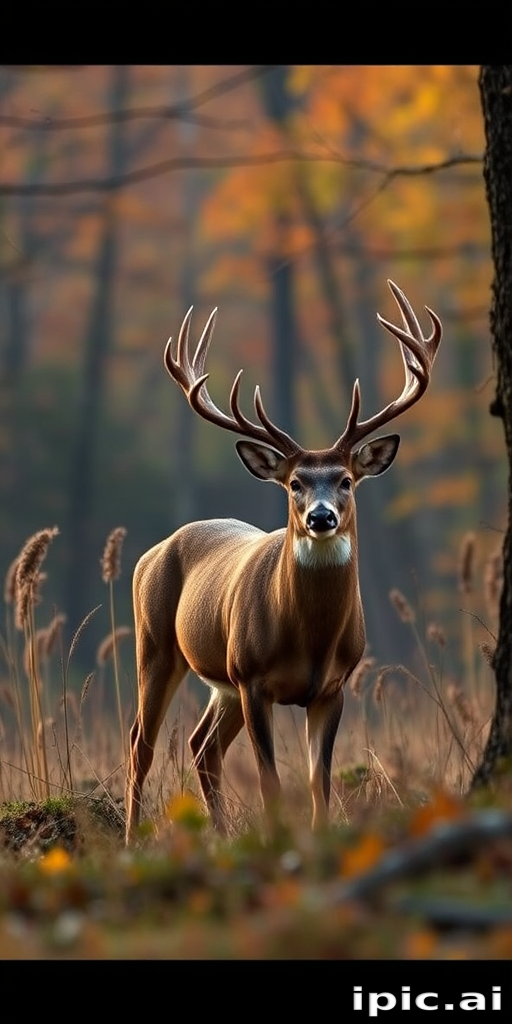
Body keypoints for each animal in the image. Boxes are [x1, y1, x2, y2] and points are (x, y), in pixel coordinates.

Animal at [125, 280, 442, 843]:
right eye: (295, 482)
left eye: (346, 479)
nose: (321, 516)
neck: (310, 637)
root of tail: (151, 553)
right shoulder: (252, 678)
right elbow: (270, 781)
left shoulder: (333, 687)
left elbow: (320, 783)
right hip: (159, 644)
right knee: (142, 742)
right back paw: (129, 838)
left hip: (220, 680)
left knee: (201, 746)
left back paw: (222, 833)